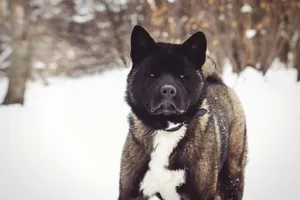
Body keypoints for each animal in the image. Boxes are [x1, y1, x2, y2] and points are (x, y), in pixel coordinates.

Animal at [118, 25, 247, 200]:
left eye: (183, 75)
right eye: (151, 74)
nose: (168, 90)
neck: (166, 129)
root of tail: (217, 81)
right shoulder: (130, 194)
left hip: (232, 178)